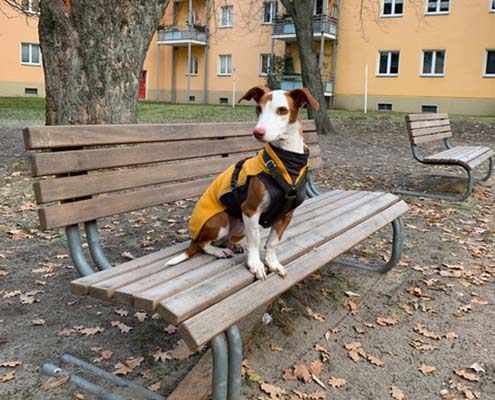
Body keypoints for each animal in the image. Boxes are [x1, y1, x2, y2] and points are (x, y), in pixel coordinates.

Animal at [166, 86, 322, 280]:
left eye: (282, 110)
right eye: (258, 109)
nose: (257, 132)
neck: (286, 163)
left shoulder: (287, 214)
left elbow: (273, 242)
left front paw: (272, 263)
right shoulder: (250, 210)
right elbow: (255, 240)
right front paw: (255, 264)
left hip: (239, 225)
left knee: (224, 240)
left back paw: (232, 246)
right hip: (221, 220)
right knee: (202, 244)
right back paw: (218, 251)